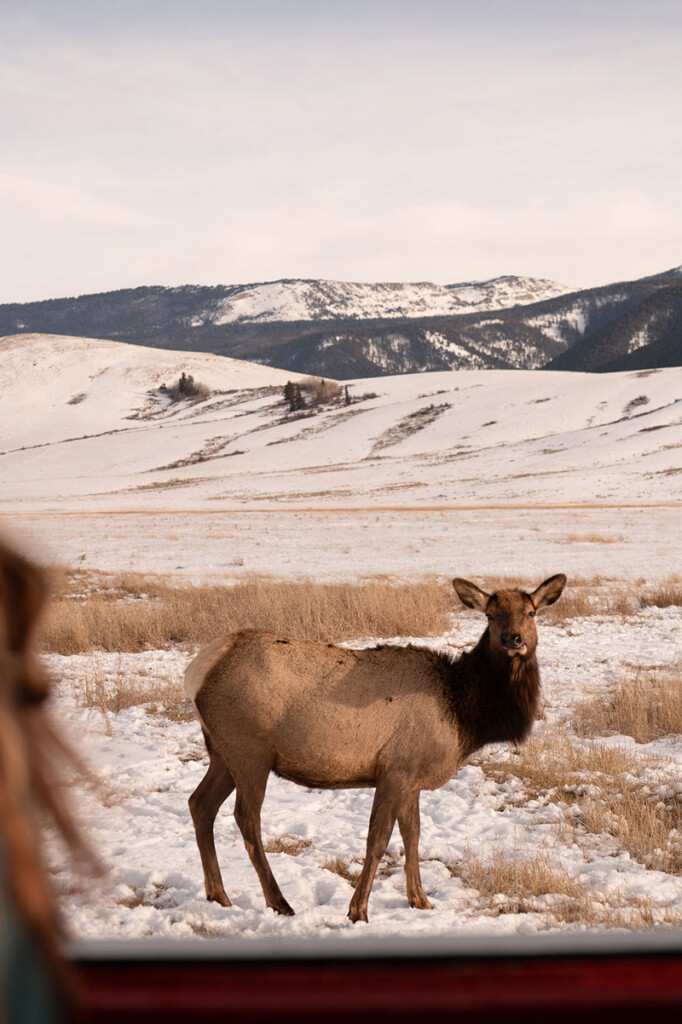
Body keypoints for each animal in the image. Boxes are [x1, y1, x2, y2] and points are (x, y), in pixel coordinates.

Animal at [185, 573, 566, 923]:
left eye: (530, 612)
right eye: (490, 615)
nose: (512, 639)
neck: (464, 714)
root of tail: (197, 671)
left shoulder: (412, 777)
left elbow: (413, 836)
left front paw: (420, 900)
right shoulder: (395, 769)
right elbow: (378, 839)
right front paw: (358, 910)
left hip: (222, 753)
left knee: (200, 803)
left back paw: (219, 895)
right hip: (249, 750)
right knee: (246, 818)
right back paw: (279, 902)